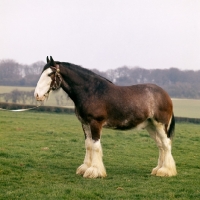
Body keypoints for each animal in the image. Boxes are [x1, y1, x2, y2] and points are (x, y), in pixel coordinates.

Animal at [34, 56, 177, 178]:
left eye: (50, 74)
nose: (37, 95)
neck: (90, 91)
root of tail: (165, 95)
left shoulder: (95, 123)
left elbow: (96, 146)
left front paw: (94, 171)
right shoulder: (85, 124)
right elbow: (88, 145)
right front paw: (85, 168)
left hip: (160, 125)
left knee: (166, 144)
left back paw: (166, 171)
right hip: (151, 126)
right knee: (161, 146)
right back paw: (158, 169)